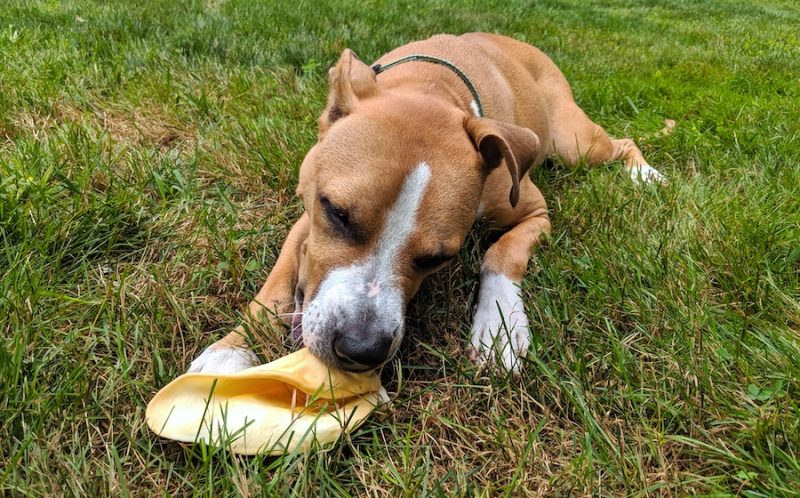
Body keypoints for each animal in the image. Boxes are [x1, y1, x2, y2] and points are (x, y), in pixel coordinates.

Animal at [188, 32, 664, 374]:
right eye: (336, 213)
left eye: (438, 258)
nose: (362, 349)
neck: (430, 89)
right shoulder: (305, 218)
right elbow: (276, 284)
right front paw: (232, 350)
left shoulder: (535, 212)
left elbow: (501, 253)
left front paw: (500, 326)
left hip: (573, 142)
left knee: (622, 142)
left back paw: (646, 175)